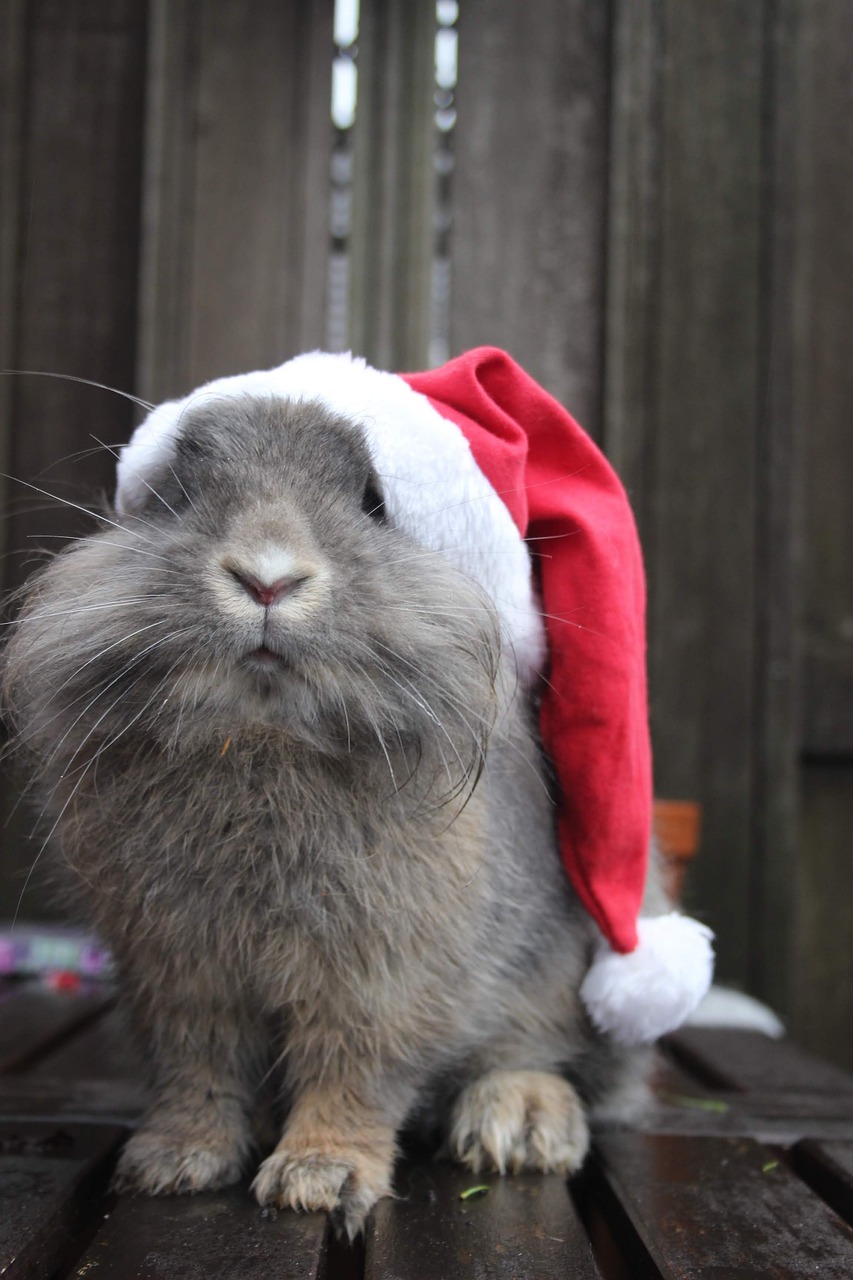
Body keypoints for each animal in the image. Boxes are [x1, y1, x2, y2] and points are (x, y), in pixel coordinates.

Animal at [1, 382, 654, 1238]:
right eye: (179, 495)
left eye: (374, 503)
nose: (267, 578)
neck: (262, 736)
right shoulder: (176, 972)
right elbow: (197, 1063)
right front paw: (174, 1161)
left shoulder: (381, 975)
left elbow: (356, 1068)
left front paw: (321, 1177)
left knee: (540, 1052)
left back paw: (519, 1124)